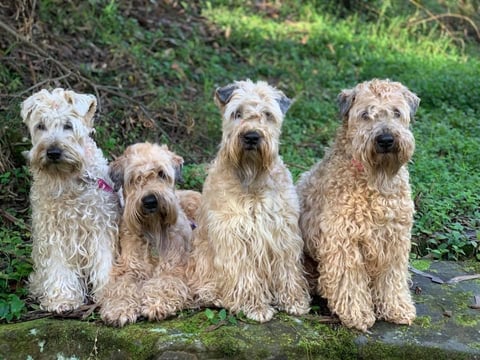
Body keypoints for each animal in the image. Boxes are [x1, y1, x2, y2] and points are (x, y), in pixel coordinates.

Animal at [99, 141, 201, 326]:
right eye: (135, 177)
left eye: (161, 173)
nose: (150, 201)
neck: (153, 232)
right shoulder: (128, 268)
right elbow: (121, 287)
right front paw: (118, 308)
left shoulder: (174, 267)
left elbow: (165, 283)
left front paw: (157, 303)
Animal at [188, 79, 312, 324]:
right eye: (237, 113)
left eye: (267, 114)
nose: (252, 136)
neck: (252, 179)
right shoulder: (234, 234)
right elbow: (244, 273)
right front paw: (254, 306)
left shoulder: (282, 231)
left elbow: (287, 268)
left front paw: (293, 301)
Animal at [298, 79, 418, 332]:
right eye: (365, 114)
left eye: (396, 112)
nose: (386, 140)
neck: (376, 181)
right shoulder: (344, 240)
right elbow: (349, 280)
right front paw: (357, 313)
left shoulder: (394, 239)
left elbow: (392, 279)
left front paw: (397, 307)